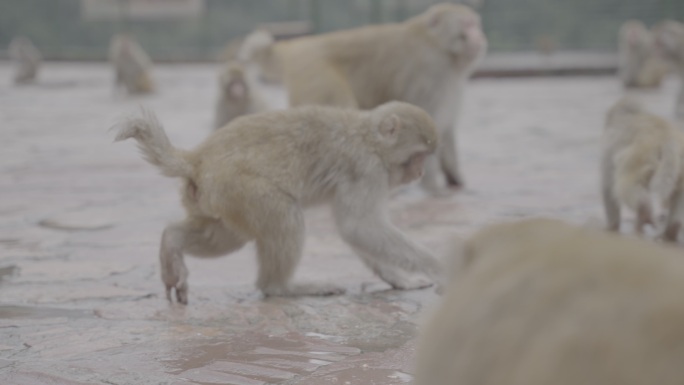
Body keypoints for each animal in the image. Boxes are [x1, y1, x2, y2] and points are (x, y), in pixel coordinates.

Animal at [113, 102, 444, 304]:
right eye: (418, 156)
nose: (420, 173)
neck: (369, 138)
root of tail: (197, 158)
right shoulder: (367, 168)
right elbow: (359, 227)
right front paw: (438, 266)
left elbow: (358, 231)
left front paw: (399, 279)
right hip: (240, 188)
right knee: (285, 215)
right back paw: (281, 287)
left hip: (215, 197)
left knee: (225, 236)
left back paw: (172, 243)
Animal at [240, 3, 486, 194]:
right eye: (467, 25)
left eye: (474, 23)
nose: (479, 36)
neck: (440, 45)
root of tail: (297, 45)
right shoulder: (433, 72)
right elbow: (429, 121)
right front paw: (433, 187)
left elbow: (445, 127)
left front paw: (456, 180)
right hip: (318, 76)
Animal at [600, 97, 684, 240]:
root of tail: (669, 140)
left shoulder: (608, 149)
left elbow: (607, 188)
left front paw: (611, 228)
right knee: (678, 196)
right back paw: (671, 232)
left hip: (640, 160)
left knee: (626, 186)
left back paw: (644, 214)